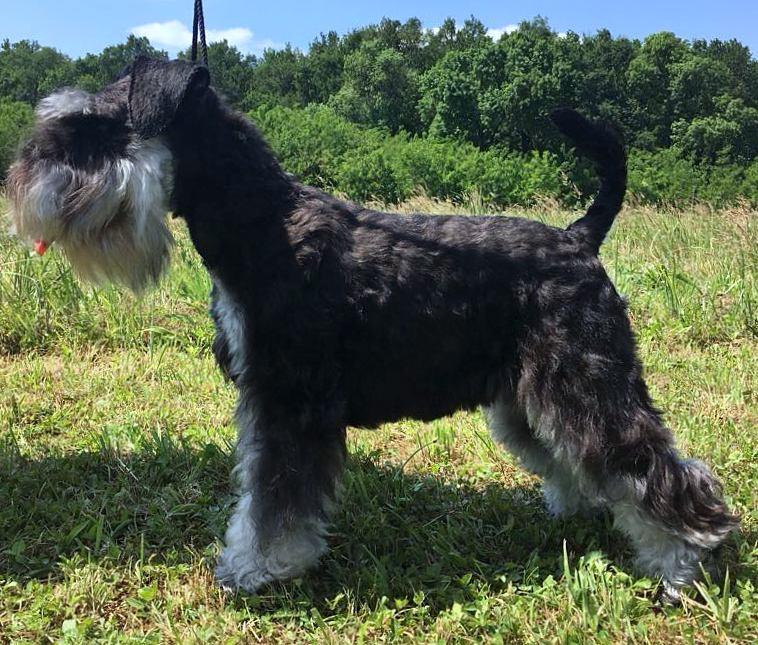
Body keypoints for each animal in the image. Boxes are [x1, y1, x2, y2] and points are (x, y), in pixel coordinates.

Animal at [6, 57, 738, 602]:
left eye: (93, 128)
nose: (23, 183)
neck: (260, 222)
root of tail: (579, 238)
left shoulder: (291, 403)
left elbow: (274, 500)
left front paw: (256, 569)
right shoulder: (266, 403)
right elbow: (259, 487)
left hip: (588, 382)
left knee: (657, 468)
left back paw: (683, 564)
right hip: (526, 400)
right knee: (585, 460)